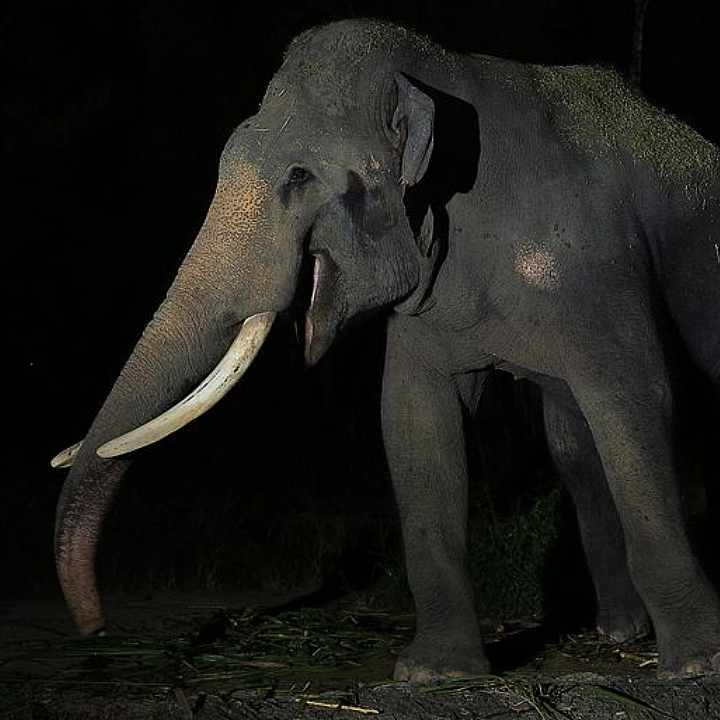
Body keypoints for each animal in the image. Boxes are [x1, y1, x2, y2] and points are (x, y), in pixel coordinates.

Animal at [52, 19, 720, 681]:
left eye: (299, 177)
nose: (94, 627)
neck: (443, 77)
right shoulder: (431, 294)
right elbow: (415, 420)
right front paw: (436, 674)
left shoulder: (592, 270)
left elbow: (634, 397)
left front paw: (697, 662)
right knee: (571, 443)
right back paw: (619, 631)